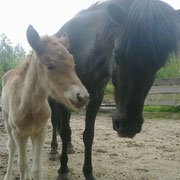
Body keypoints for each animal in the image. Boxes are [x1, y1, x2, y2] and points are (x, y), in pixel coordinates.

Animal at [1, 25, 88, 180]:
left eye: (73, 64)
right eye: (50, 66)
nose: (82, 96)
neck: (30, 105)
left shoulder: (40, 132)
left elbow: (36, 169)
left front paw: (31, 174)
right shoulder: (19, 133)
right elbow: (22, 165)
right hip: (7, 123)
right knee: (11, 146)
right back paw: (8, 176)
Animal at [48, 0, 180, 179]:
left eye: (158, 64)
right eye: (116, 54)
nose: (128, 126)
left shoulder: (95, 99)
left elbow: (88, 135)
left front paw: (88, 172)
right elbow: (64, 131)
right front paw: (63, 169)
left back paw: (68, 147)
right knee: (56, 123)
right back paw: (54, 150)